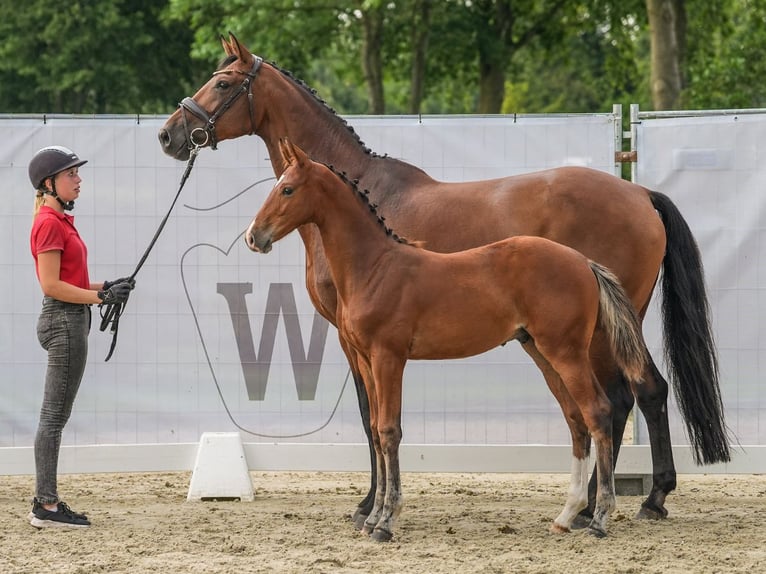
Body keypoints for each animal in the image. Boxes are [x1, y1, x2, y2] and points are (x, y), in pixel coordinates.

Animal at [246, 140, 648, 544]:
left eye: (287, 189)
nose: (253, 236)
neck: (374, 268)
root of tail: (583, 262)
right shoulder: (365, 360)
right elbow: (374, 429)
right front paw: (372, 517)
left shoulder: (388, 357)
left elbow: (389, 431)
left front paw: (386, 521)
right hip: (542, 352)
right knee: (575, 419)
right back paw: (566, 515)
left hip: (567, 352)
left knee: (598, 412)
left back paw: (598, 518)